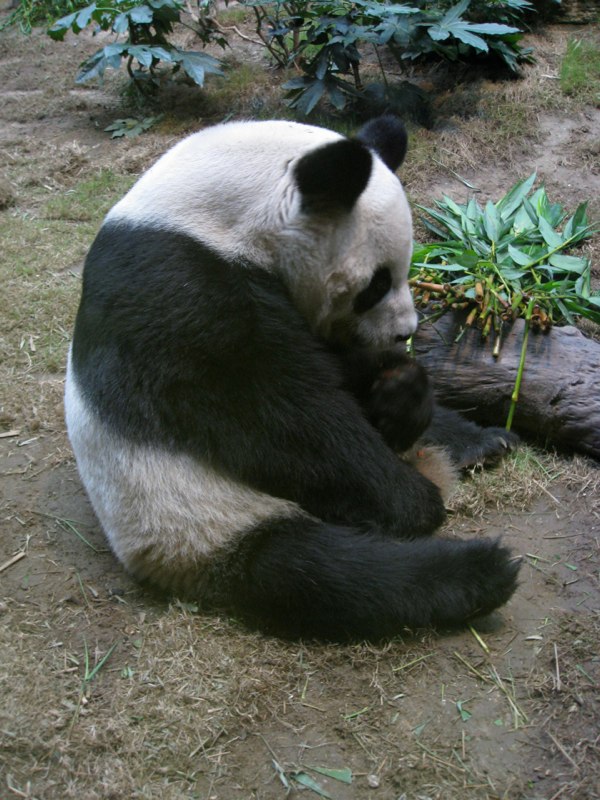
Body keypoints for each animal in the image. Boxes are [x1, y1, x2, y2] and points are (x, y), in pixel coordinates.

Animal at [65, 115, 520, 641]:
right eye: (377, 283)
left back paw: (481, 442)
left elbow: (337, 373)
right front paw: (412, 501)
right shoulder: (178, 291)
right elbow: (278, 415)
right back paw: (482, 569)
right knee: (328, 574)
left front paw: (400, 393)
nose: (405, 332)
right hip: (193, 517)